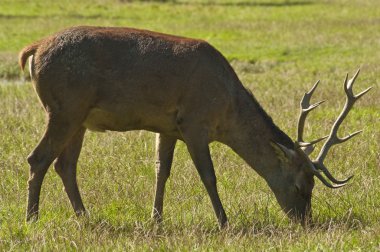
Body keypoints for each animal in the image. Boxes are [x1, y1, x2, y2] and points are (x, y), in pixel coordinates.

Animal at [18, 26, 372, 228]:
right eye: (301, 187)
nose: (307, 222)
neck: (227, 111)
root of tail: (32, 50)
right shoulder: (194, 122)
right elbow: (209, 176)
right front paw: (224, 221)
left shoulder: (167, 126)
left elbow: (161, 170)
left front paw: (156, 219)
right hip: (64, 107)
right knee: (38, 158)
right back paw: (32, 219)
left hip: (78, 117)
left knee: (65, 165)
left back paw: (84, 217)